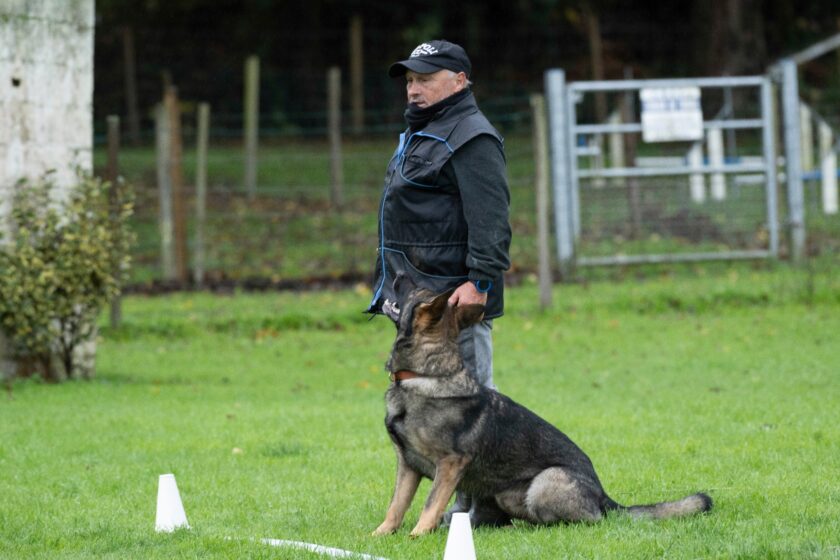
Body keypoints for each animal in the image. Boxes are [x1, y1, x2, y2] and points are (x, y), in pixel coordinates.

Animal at [373, 280, 712, 537]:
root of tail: (603, 496)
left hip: (544, 483)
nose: (396, 275)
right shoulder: (408, 465)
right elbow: (396, 505)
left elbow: (430, 504)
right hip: (507, 495)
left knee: (589, 521)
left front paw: (417, 535)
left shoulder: (451, 464)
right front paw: (382, 534)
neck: (423, 375)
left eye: (414, 288)